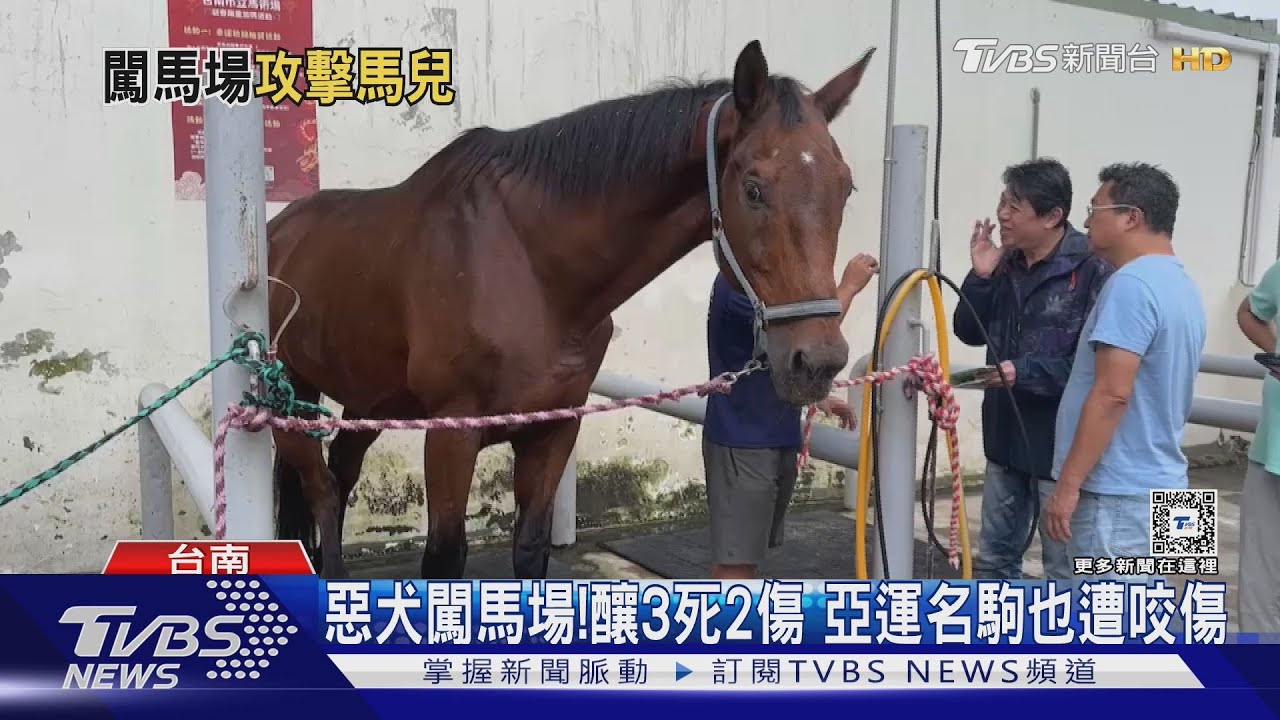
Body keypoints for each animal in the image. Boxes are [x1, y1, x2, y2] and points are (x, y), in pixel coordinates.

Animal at [265, 39, 877, 580]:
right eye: (753, 188)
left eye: (846, 188)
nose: (816, 362)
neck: (531, 267)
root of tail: (277, 230)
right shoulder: (451, 435)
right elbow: (444, 557)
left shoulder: (554, 429)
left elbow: (532, 548)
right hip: (289, 392)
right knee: (321, 490)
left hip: (368, 398)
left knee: (340, 475)